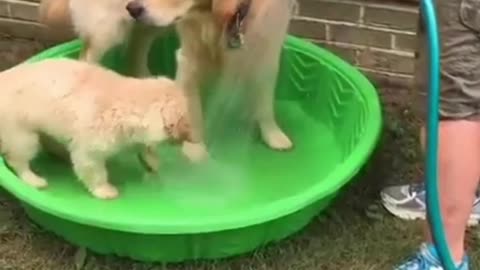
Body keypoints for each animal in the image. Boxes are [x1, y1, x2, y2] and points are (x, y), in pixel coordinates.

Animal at [0, 58, 193, 199]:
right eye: (183, 121)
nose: (191, 137)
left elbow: (145, 147)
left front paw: (151, 161)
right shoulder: (89, 150)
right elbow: (95, 172)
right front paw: (105, 191)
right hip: (22, 136)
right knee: (17, 161)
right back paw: (34, 180)